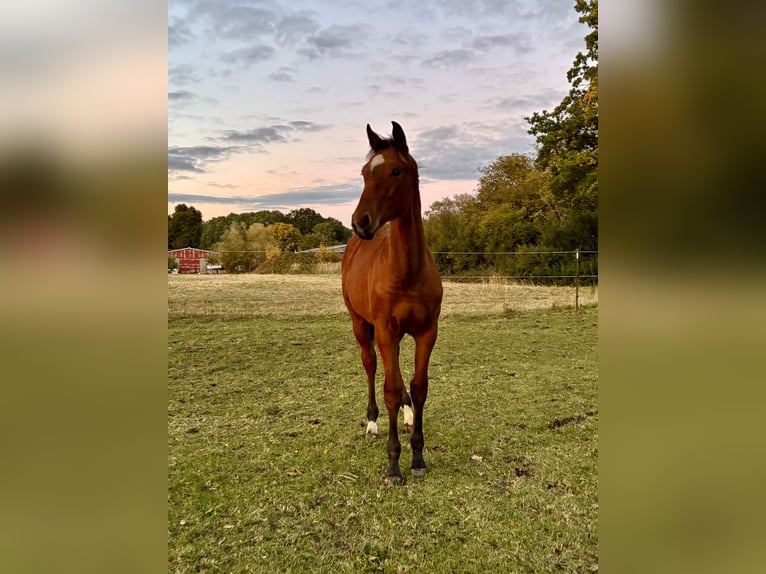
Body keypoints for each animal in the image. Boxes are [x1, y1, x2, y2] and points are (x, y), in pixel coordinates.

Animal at [342, 121, 443, 485]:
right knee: (370, 365)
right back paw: (372, 423)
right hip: (361, 325)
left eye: (395, 171)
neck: (407, 272)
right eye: (364, 173)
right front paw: (394, 465)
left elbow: (418, 385)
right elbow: (390, 389)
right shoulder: (385, 331)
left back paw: (408, 415)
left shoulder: (427, 332)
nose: (360, 221)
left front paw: (418, 457)